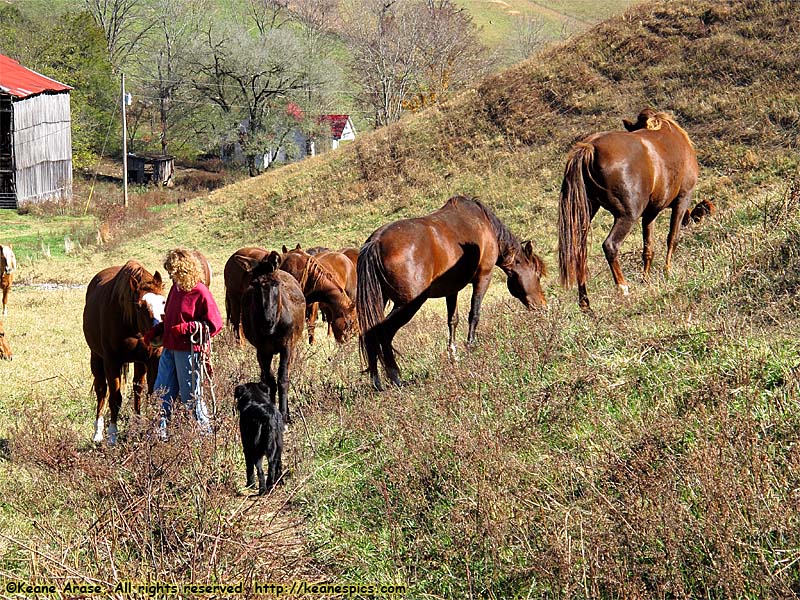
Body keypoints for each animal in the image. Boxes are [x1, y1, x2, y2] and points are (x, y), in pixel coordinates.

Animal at [83, 260, 166, 442]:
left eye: (163, 302)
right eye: (140, 306)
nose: (159, 334)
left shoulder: (153, 359)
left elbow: (152, 393)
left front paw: (155, 431)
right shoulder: (112, 362)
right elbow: (115, 397)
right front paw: (113, 435)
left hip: (139, 362)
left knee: (138, 390)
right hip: (96, 358)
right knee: (101, 391)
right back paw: (98, 433)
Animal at [239, 251, 304, 424]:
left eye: (276, 284)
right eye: (254, 284)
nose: (267, 322)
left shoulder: (286, 347)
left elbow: (283, 379)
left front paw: (285, 414)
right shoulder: (262, 350)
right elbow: (270, 381)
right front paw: (273, 411)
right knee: (264, 377)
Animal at [360, 195, 548, 392]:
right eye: (537, 274)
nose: (543, 307)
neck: (483, 223)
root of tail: (377, 241)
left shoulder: (451, 289)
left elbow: (453, 321)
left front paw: (454, 356)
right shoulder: (483, 277)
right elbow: (474, 314)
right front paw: (470, 348)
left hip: (379, 301)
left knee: (369, 333)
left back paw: (376, 381)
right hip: (408, 304)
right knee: (383, 332)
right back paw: (395, 377)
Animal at [556, 108, 700, 312]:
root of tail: (590, 147)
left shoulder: (650, 213)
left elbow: (648, 248)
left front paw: (646, 279)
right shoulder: (683, 199)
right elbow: (672, 238)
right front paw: (667, 272)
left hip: (585, 214)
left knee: (579, 250)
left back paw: (584, 302)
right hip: (627, 216)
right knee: (610, 245)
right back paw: (622, 288)